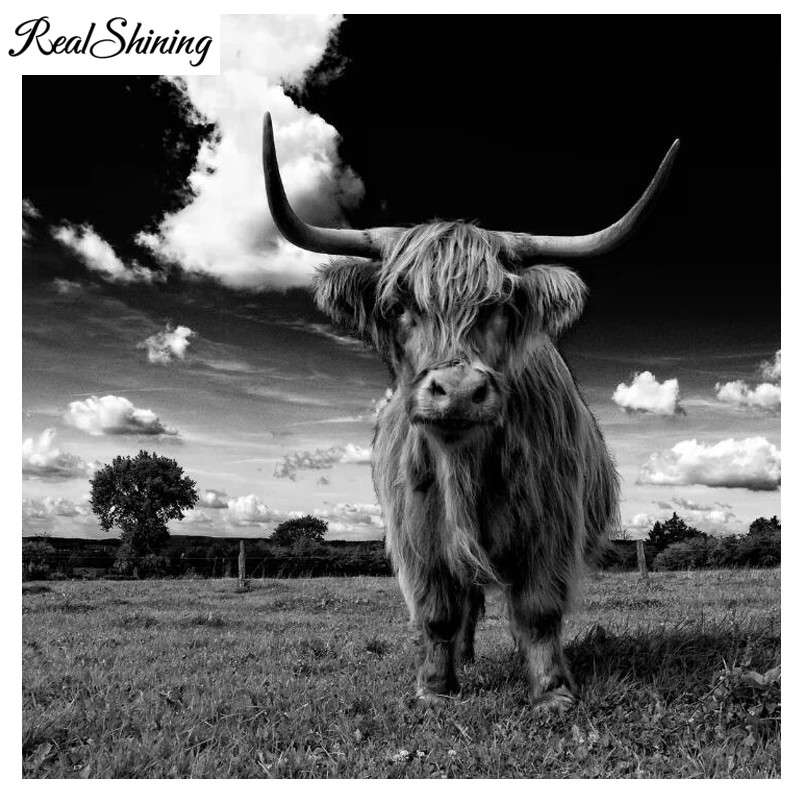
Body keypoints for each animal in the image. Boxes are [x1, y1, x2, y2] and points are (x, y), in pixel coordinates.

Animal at [261, 112, 679, 710]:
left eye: (500, 306)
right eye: (398, 306)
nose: (458, 390)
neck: (464, 468)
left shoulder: (550, 529)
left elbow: (538, 611)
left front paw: (553, 693)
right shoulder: (418, 538)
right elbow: (437, 613)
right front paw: (436, 690)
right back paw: (464, 659)